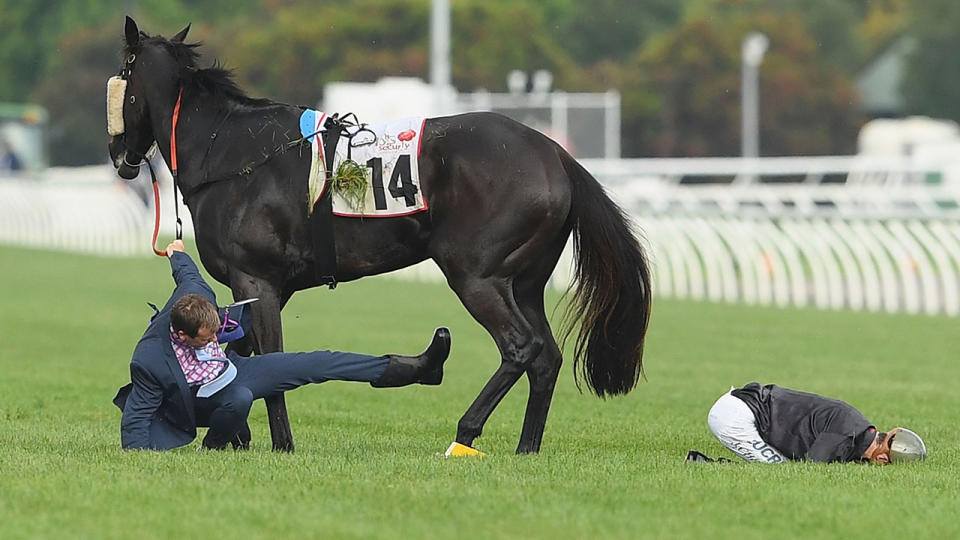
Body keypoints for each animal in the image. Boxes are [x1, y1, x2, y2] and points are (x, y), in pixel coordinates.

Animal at [107, 16, 652, 454]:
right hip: (525, 282)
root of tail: (555, 154)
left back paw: (465, 432)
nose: (119, 155)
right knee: (545, 357)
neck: (231, 153)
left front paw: (279, 443)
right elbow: (240, 356)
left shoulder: (255, 280)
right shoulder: (267, 289)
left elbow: (268, 363)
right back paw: (526, 447)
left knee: (521, 346)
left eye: (122, 77)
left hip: (478, 276)